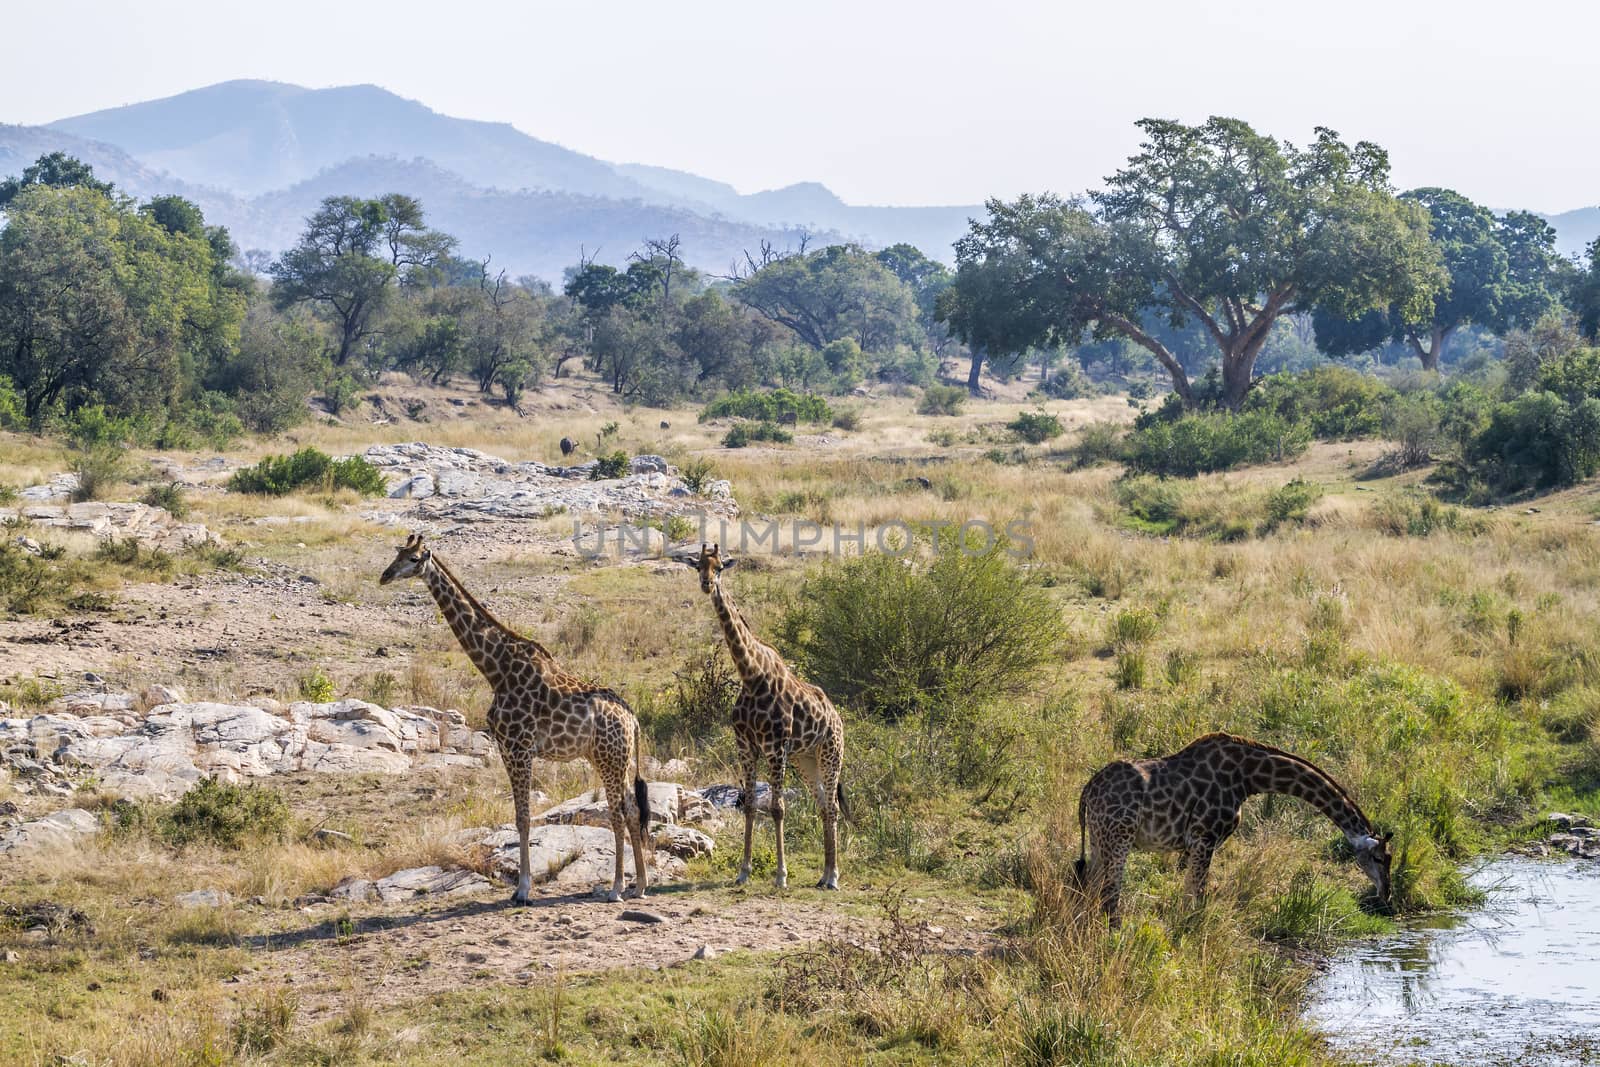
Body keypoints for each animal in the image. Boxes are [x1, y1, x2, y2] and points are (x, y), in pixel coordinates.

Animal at [377, 534, 646, 902]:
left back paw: (616, 887)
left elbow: (523, 818)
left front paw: (522, 889)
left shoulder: (518, 748)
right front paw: (522, 886)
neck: (496, 670)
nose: (385, 575)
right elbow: (519, 816)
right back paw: (641, 884)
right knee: (632, 810)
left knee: (618, 813)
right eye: (397, 554)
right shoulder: (507, 748)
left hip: (609, 759)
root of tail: (633, 720)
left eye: (414, 558)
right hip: (612, 759)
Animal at [675, 547, 851, 889]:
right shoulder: (746, 746)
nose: (706, 584)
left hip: (830, 753)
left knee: (833, 806)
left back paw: (834, 876)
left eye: (720, 567)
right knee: (823, 805)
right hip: (805, 759)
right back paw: (824, 875)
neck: (750, 675)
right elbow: (750, 806)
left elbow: (778, 808)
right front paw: (743, 871)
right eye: (698, 566)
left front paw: (781, 875)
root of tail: (837, 718)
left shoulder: (775, 746)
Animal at [1081, 735, 1395, 927]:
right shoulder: (1204, 838)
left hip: (1099, 841)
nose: (1387, 894)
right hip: (1119, 839)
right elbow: (1197, 894)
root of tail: (1088, 790)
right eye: (1380, 858)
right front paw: (1191, 932)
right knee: (1109, 895)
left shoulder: (1199, 844)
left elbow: (1190, 892)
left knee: (1087, 889)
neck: (1249, 777)